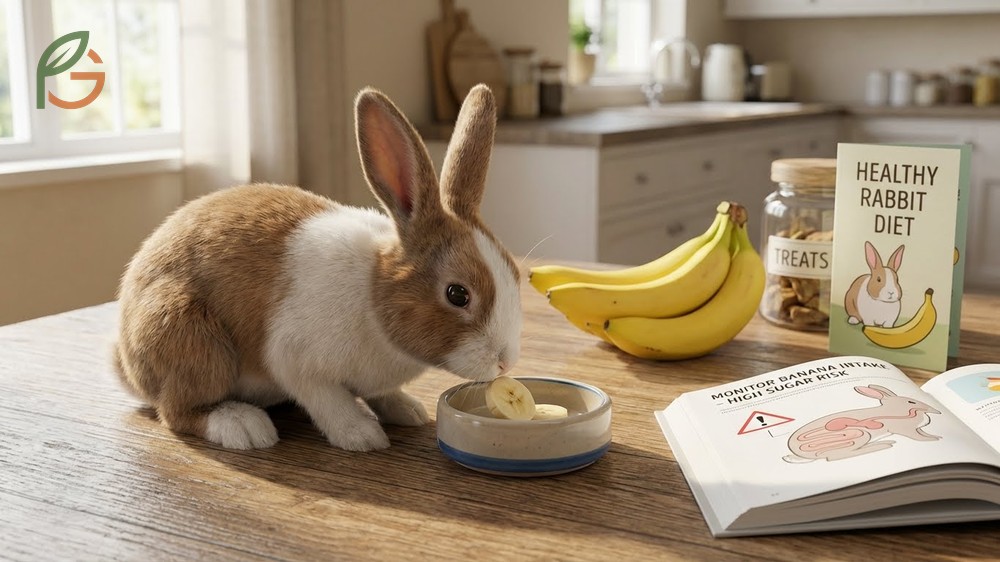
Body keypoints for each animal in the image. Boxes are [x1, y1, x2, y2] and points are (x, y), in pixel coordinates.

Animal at [112, 84, 522, 452]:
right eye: (458, 294)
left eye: (516, 275)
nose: (505, 363)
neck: (374, 294)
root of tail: (127, 362)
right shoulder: (297, 363)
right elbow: (330, 402)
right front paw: (362, 436)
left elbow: (384, 394)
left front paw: (407, 410)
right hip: (193, 342)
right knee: (177, 411)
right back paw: (244, 427)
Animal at [783, 384, 940, 463]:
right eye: (911, 402)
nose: (937, 411)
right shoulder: (905, 429)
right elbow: (918, 437)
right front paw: (932, 439)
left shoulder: (917, 429)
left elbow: (923, 433)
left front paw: (937, 438)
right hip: (858, 435)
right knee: (835, 456)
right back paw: (884, 445)